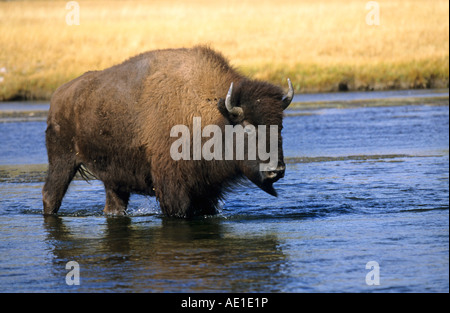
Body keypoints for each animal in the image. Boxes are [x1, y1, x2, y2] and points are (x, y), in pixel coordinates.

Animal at [43, 46, 296, 217]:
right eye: (248, 127)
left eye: (280, 126)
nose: (276, 170)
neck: (214, 115)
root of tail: (58, 96)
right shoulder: (173, 189)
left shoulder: (206, 191)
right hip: (63, 162)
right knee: (50, 195)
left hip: (113, 181)